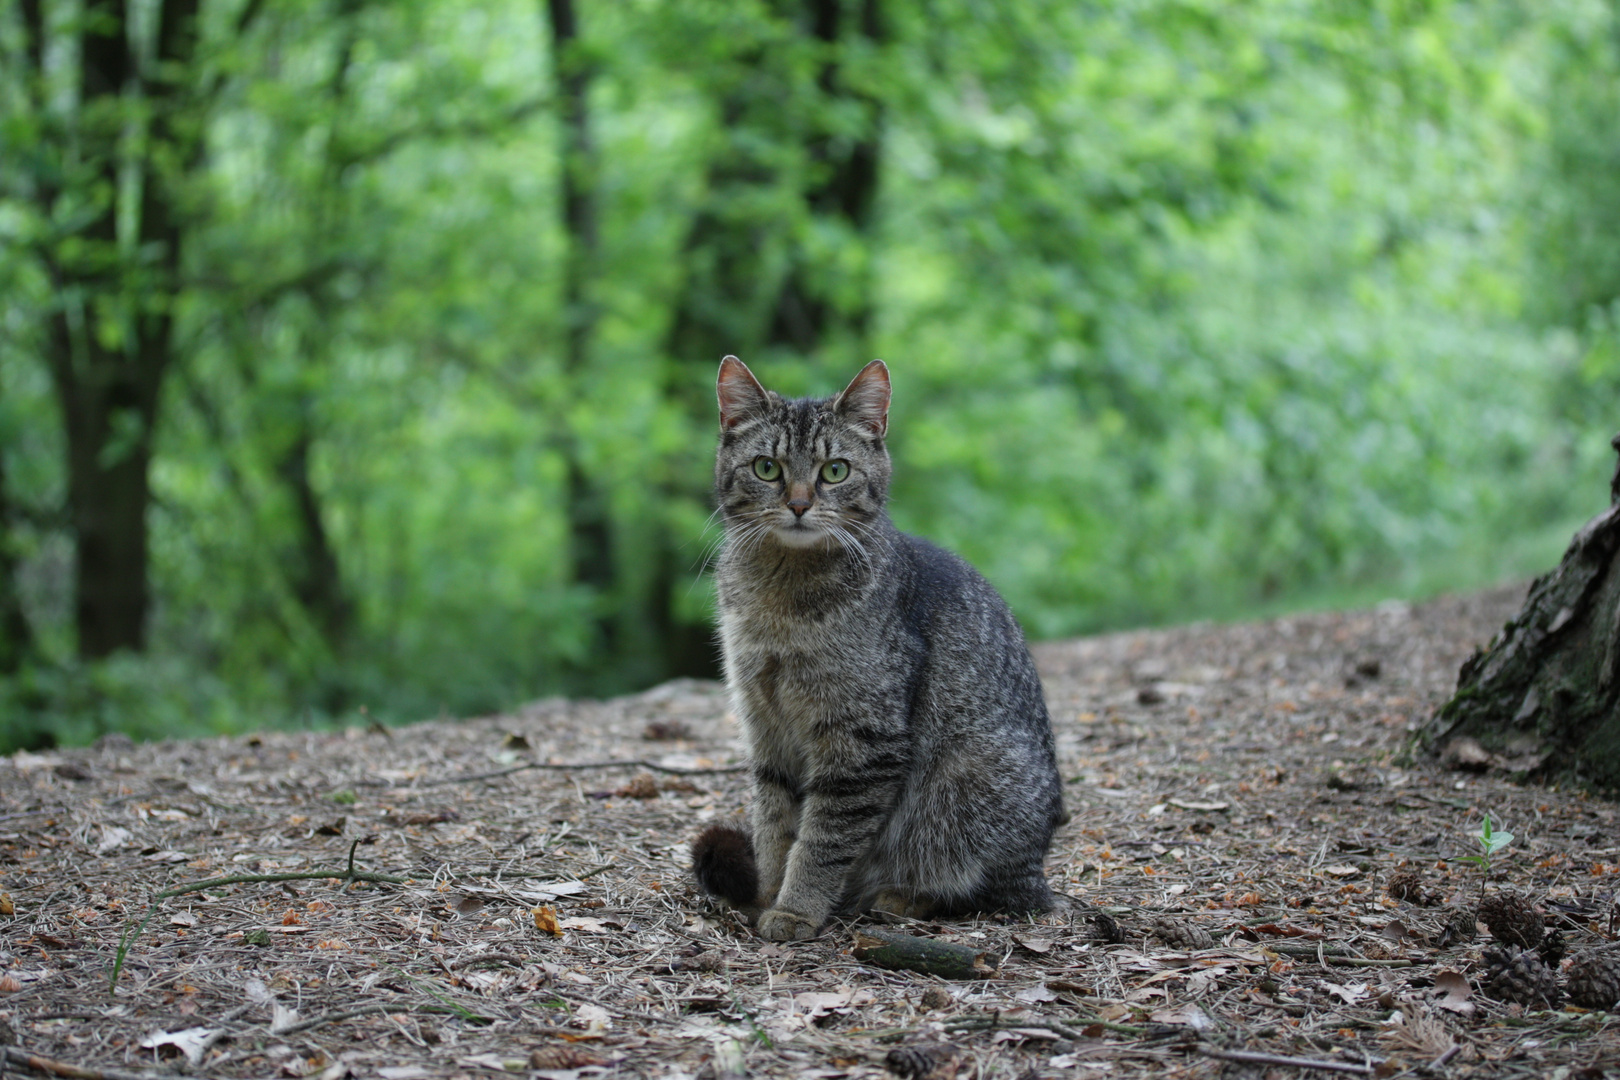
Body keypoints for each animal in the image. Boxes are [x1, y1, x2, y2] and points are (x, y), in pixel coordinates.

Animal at [690, 359, 1069, 939]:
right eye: (767, 468)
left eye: (835, 472)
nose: (798, 504)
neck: (781, 596)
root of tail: (1038, 874)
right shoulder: (766, 729)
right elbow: (774, 825)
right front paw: (766, 895)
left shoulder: (862, 741)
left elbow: (821, 841)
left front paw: (796, 909)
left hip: (966, 780)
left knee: (976, 888)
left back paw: (900, 897)